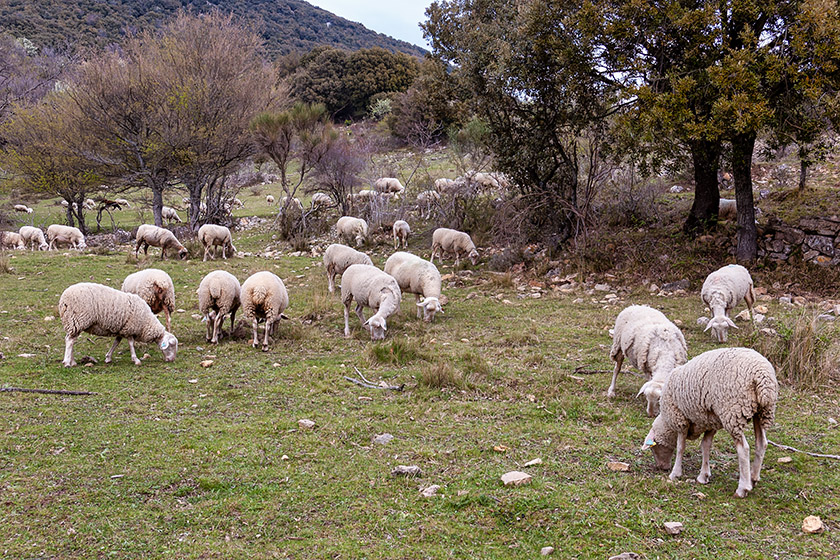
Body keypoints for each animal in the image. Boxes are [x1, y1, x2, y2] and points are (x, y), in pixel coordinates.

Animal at [642, 347, 778, 498]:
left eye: (654, 447)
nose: (663, 468)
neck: (667, 421)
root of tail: (762, 375)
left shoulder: (681, 420)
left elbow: (680, 448)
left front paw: (675, 473)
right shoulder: (711, 421)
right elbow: (705, 445)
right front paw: (703, 476)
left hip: (732, 412)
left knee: (744, 449)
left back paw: (743, 488)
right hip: (762, 412)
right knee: (762, 442)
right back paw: (753, 478)